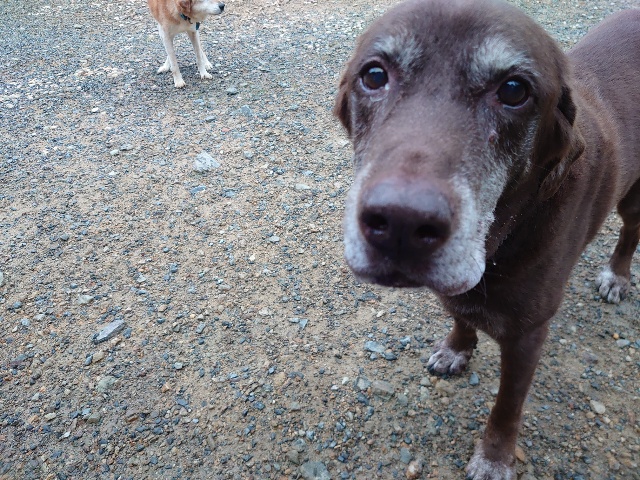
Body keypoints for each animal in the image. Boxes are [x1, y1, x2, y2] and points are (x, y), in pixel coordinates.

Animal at [335, 0, 640, 478]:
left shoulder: (528, 335)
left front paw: (495, 457)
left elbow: (507, 406)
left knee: (630, 230)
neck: (500, 239)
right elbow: (461, 315)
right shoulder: (457, 291)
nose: (402, 224)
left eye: (514, 89)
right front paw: (457, 350)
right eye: (374, 75)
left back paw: (617, 276)